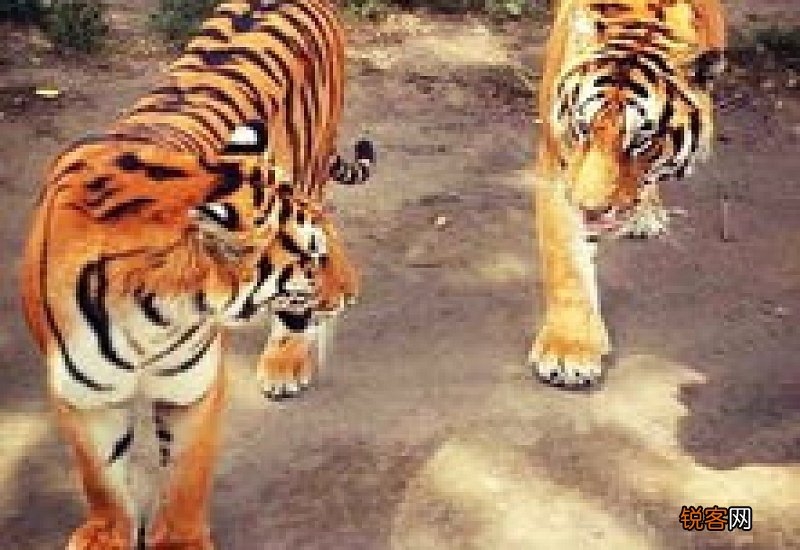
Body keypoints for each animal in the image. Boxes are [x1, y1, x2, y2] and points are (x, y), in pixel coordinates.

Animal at [19, 1, 374, 548]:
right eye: (313, 258)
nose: (355, 293)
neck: (145, 311)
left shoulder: (193, 386)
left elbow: (187, 475)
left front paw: (180, 538)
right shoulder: (84, 392)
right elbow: (100, 476)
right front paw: (107, 533)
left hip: (312, 164)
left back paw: (285, 364)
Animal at [528, 0, 726, 387]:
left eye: (641, 142)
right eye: (582, 127)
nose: (589, 209)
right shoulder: (557, 167)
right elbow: (567, 262)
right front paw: (569, 350)